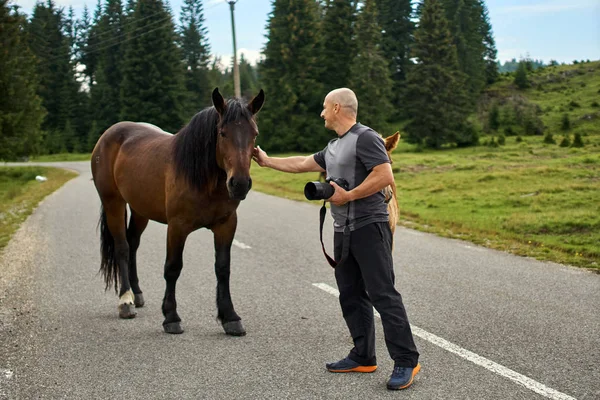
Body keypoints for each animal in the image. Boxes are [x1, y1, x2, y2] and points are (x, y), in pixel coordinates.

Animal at [89, 87, 264, 334]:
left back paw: (137, 293)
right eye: (222, 133)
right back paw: (126, 301)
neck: (203, 178)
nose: (239, 184)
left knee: (133, 243)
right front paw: (171, 317)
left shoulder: (226, 225)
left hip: (140, 210)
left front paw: (230, 317)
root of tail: (108, 135)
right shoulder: (177, 227)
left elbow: (223, 268)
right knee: (122, 247)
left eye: (254, 134)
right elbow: (173, 267)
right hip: (113, 202)